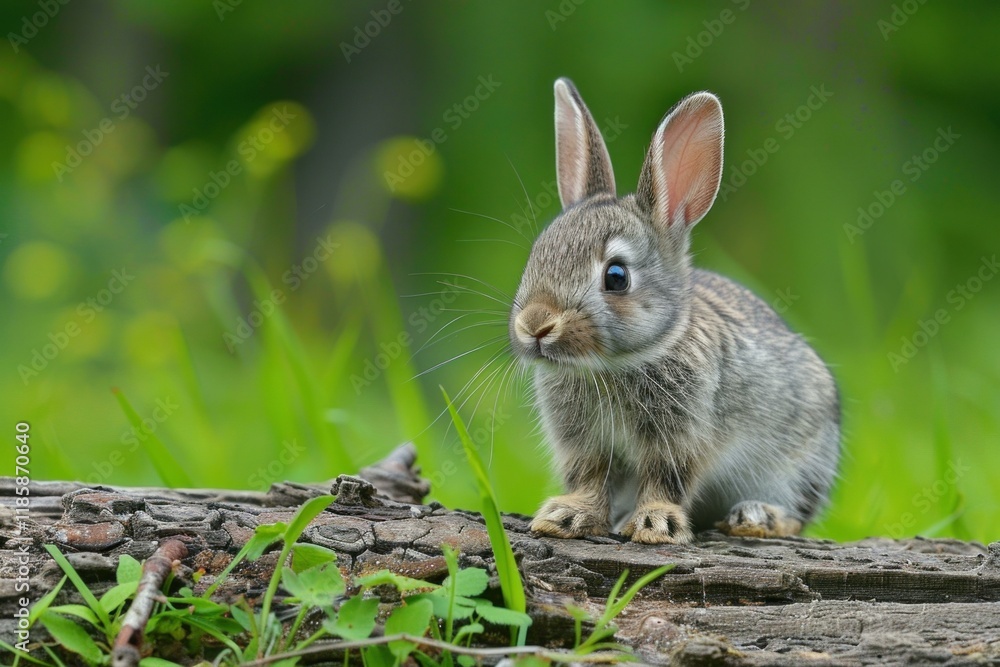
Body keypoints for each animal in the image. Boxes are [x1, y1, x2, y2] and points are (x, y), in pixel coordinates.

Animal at [508, 78, 840, 544]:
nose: (535, 325)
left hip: (802, 459)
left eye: (616, 276)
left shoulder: (681, 437)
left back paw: (757, 518)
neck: (614, 366)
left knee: (797, 515)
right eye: (537, 255)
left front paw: (654, 525)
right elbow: (590, 479)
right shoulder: (585, 445)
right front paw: (566, 517)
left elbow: (666, 479)